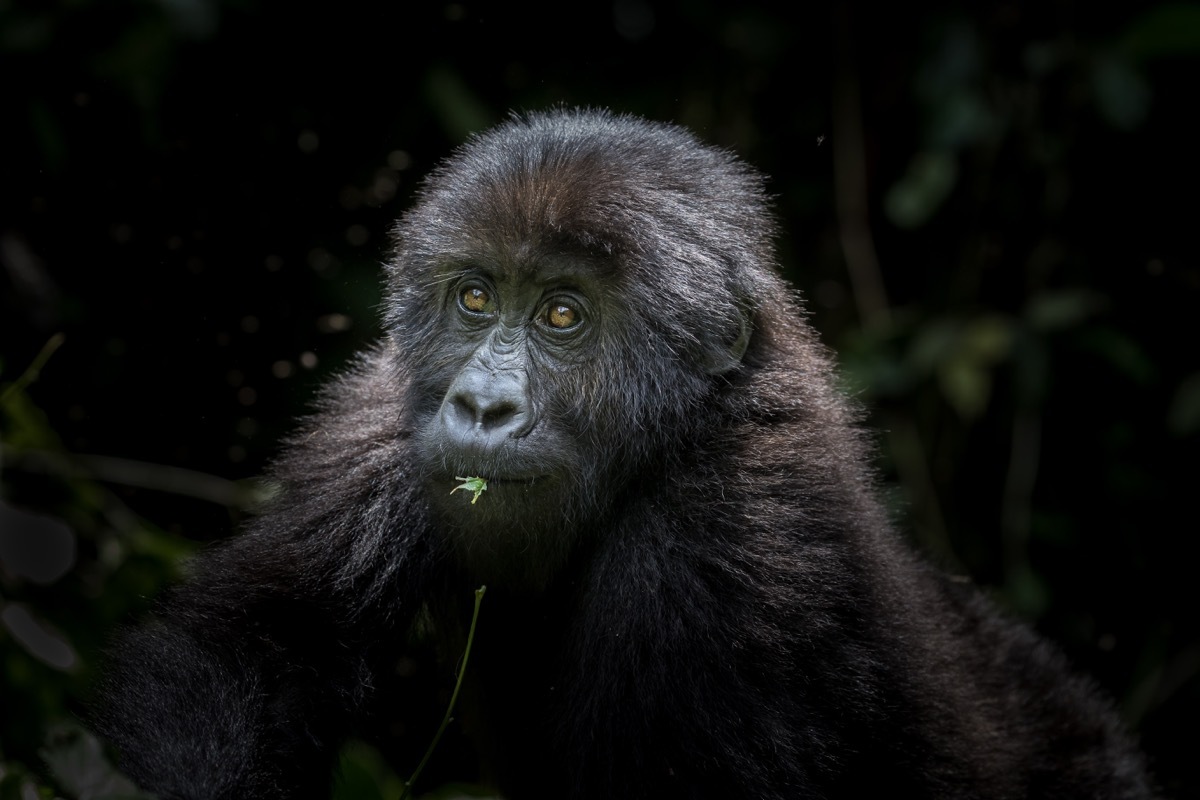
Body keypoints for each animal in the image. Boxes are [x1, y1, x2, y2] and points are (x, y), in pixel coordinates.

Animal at [91, 107, 1152, 800]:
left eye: (563, 316)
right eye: (475, 296)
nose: (482, 404)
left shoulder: (726, 536)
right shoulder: (382, 414)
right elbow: (250, 650)